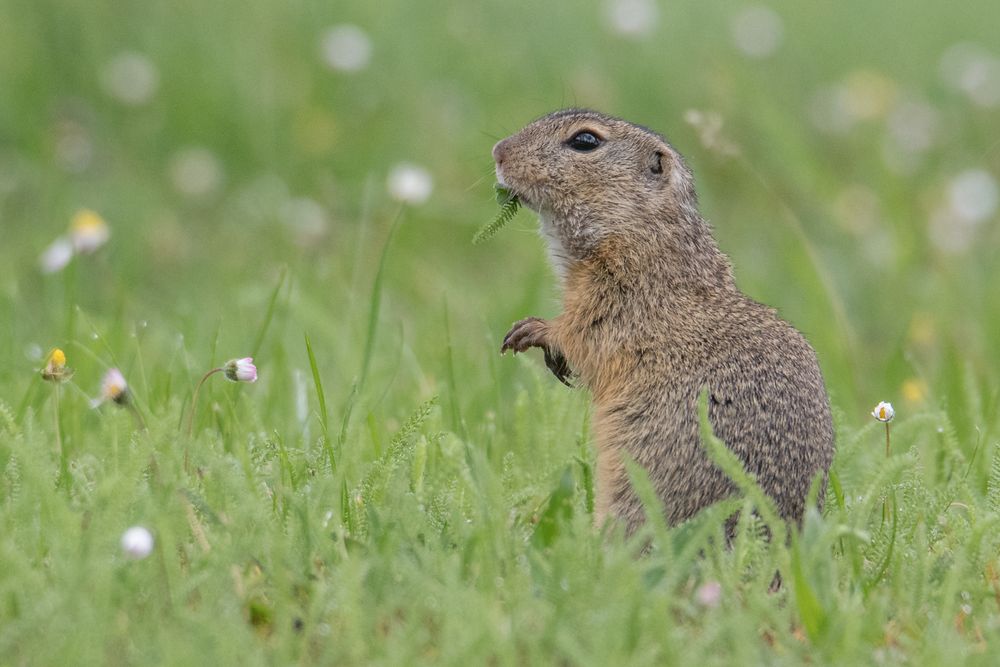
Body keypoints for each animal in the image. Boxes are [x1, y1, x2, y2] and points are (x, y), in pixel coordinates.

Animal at [494, 109, 836, 536]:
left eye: (585, 141)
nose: (498, 152)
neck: (645, 230)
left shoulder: (622, 295)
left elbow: (586, 334)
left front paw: (535, 330)